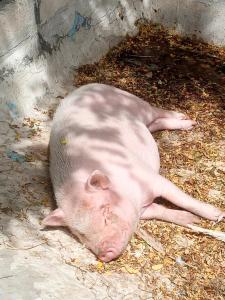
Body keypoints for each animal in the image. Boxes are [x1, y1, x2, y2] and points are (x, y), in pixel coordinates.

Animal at [43, 83, 224, 262]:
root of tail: (85, 88)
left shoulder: (152, 178)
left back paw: (187, 121)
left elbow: (180, 198)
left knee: (157, 110)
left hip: (134, 103)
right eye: (80, 234)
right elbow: (159, 210)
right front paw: (192, 220)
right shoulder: (142, 209)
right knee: (153, 125)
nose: (104, 254)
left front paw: (217, 215)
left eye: (106, 213)